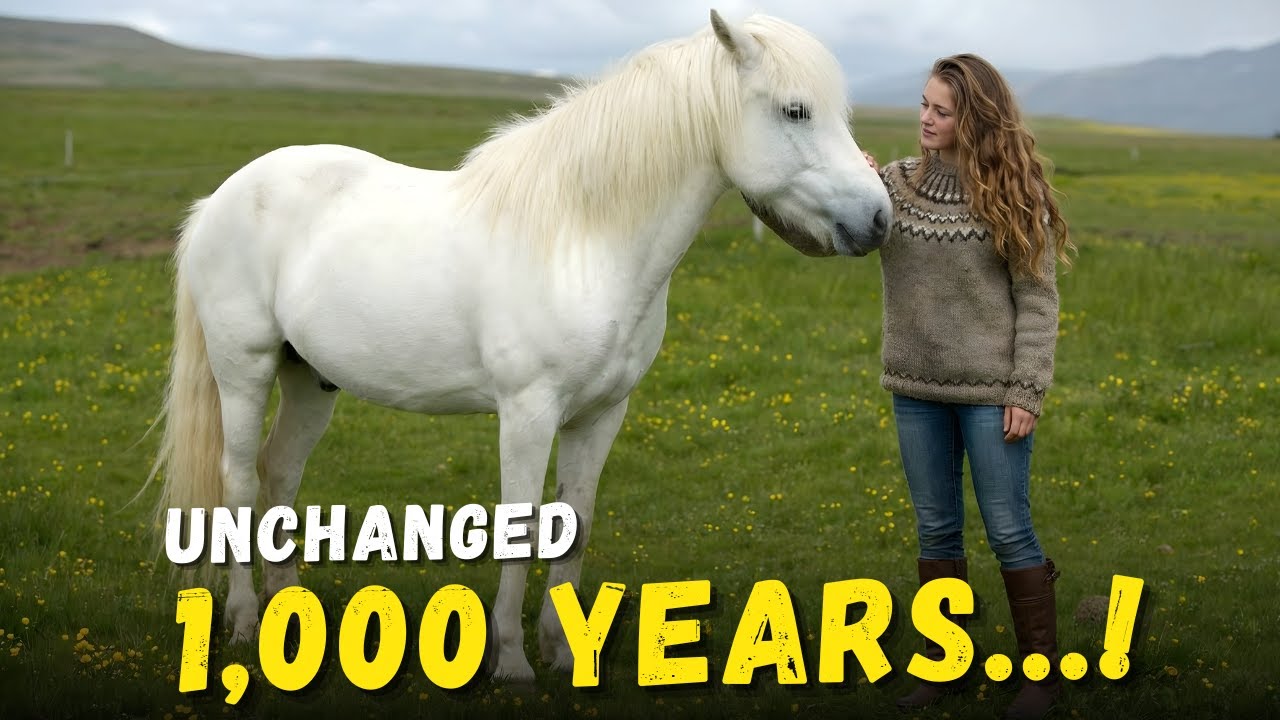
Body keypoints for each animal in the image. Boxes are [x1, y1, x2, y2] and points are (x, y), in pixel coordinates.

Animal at [149, 9, 892, 683]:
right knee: (240, 481)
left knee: (280, 475)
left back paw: (289, 616)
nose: (878, 218)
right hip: (243, 372)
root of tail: (220, 199)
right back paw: (246, 619)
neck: (583, 238)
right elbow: (523, 524)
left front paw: (565, 652)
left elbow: (575, 521)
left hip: (310, 380)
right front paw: (509, 661)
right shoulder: (527, 413)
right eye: (795, 110)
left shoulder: (601, 414)